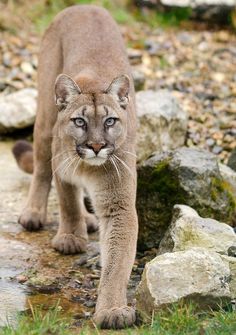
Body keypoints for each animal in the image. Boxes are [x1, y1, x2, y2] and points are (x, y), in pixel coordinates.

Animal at [12, 4, 138, 330]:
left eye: (110, 121)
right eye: (79, 121)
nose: (95, 146)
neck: (89, 168)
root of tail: (84, 5)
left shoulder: (119, 204)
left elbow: (117, 263)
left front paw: (112, 309)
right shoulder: (62, 168)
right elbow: (67, 202)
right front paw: (71, 237)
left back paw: (89, 219)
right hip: (45, 118)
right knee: (40, 168)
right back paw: (34, 213)